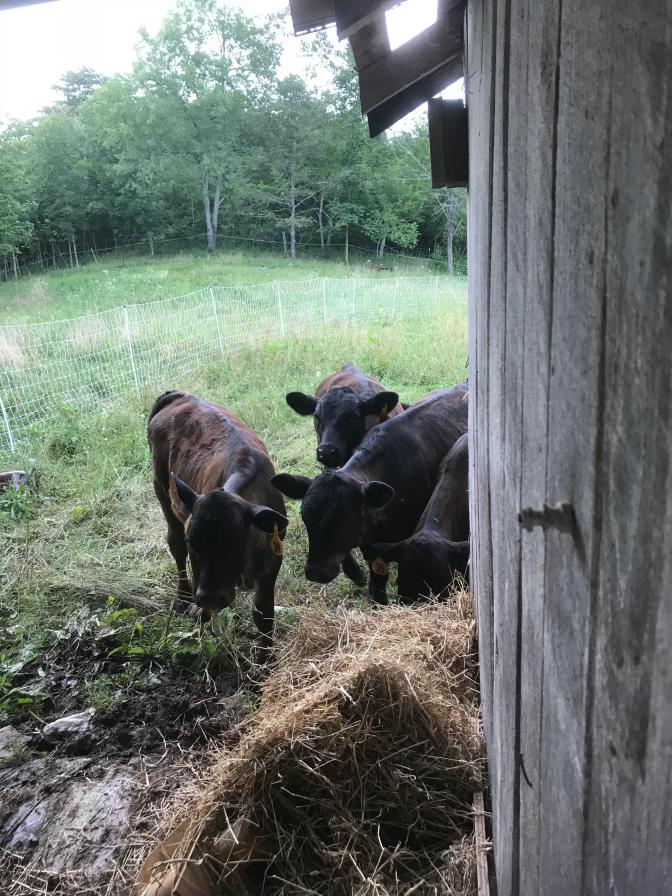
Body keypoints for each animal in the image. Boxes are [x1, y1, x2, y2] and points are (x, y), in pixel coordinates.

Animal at [147, 391, 288, 661]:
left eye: (238, 541)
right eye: (194, 542)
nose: (211, 597)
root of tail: (178, 396)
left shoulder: (273, 559)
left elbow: (263, 613)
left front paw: (265, 657)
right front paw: (199, 613)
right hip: (160, 487)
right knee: (175, 546)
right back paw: (182, 597)